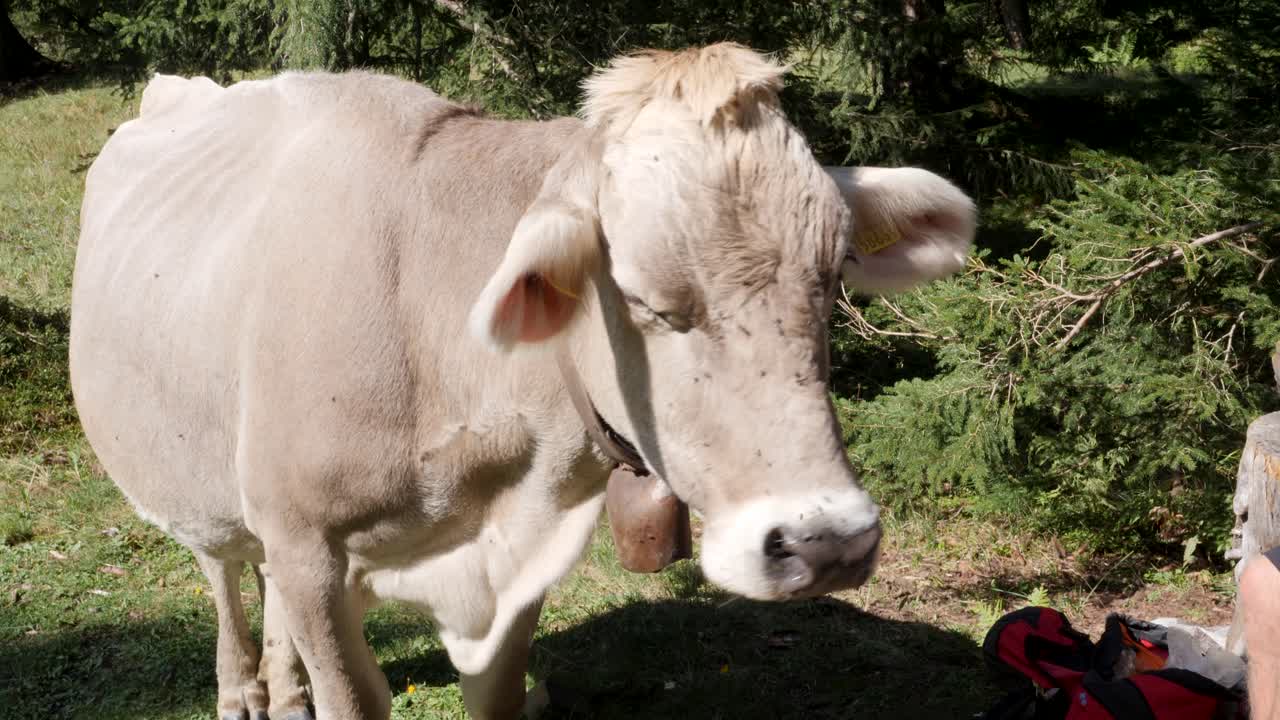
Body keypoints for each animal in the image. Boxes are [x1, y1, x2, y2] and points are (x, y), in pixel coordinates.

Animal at [70, 43, 976, 720]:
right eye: (643, 298)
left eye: (834, 275)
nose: (828, 541)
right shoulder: (309, 547)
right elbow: (351, 693)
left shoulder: (518, 561)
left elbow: (496, 694)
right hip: (192, 472)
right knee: (222, 567)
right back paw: (242, 690)